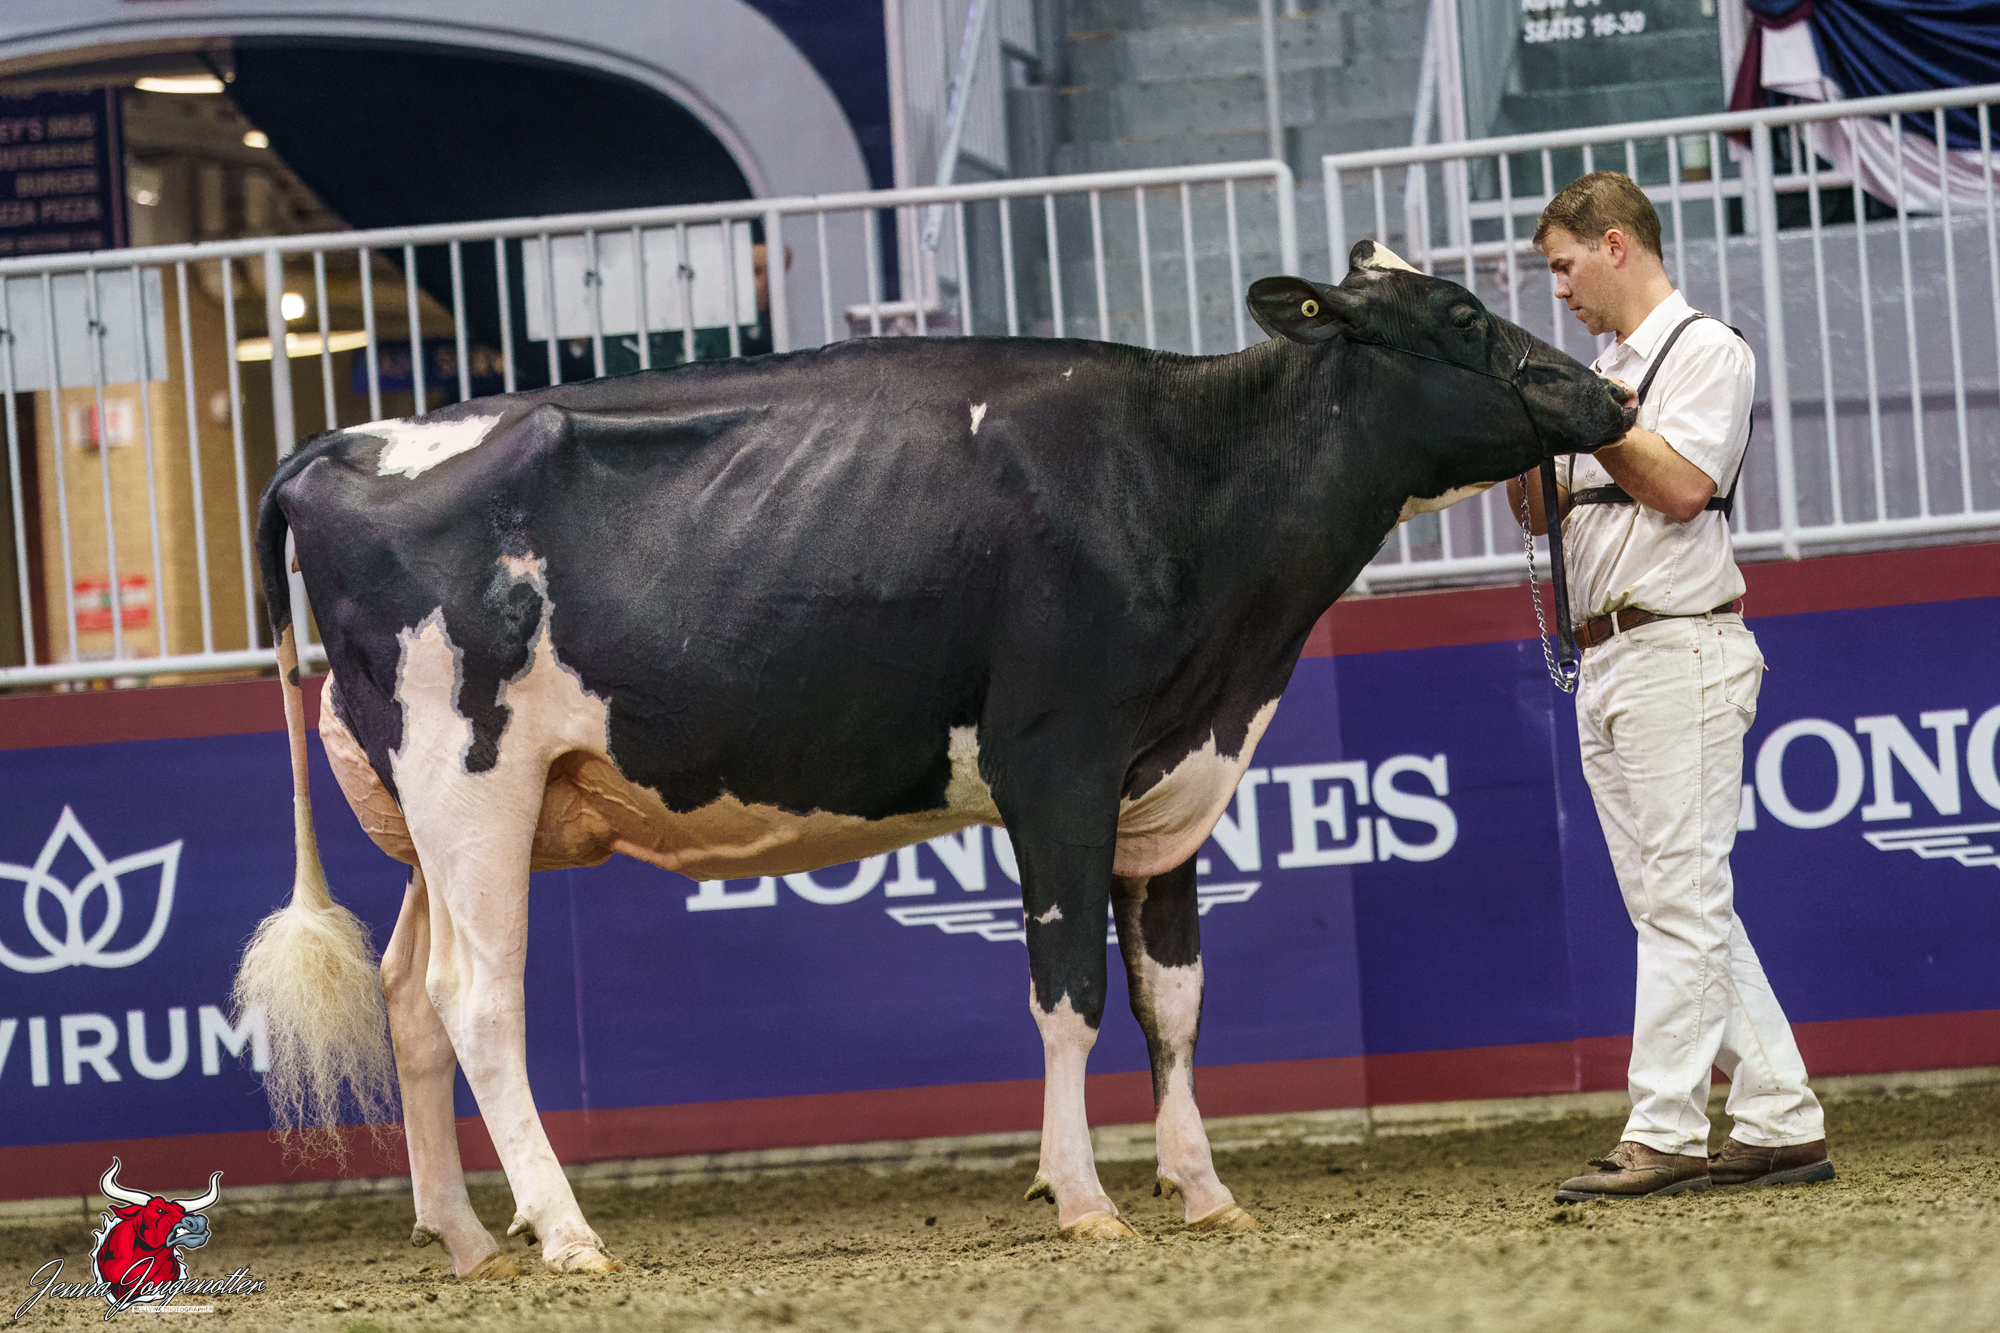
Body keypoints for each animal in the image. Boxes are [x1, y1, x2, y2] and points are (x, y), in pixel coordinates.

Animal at [234, 241, 1631, 1279]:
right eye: (1458, 312)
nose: (1608, 398)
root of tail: (341, 446)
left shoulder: (1169, 780)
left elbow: (1172, 997)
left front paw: (1202, 1188)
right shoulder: (1057, 765)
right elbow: (1069, 991)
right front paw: (1082, 1197)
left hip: (446, 811)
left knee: (408, 993)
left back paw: (470, 1236)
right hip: (468, 772)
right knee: (479, 995)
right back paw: (567, 1232)